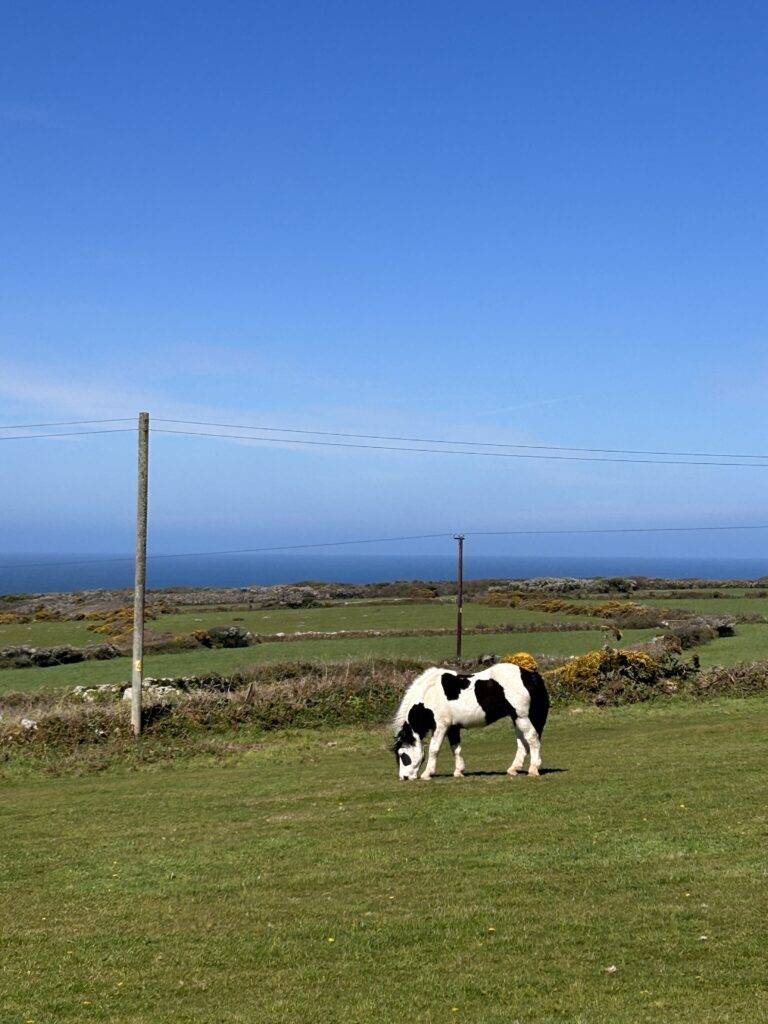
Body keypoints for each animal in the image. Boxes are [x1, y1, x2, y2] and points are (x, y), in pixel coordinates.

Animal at [391, 662, 549, 781]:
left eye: (403, 755)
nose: (404, 777)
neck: (429, 694)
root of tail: (530, 675)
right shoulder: (453, 728)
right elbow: (455, 748)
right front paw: (458, 771)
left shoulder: (441, 726)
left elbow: (434, 749)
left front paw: (427, 774)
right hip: (516, 718)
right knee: (522, 742)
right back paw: (513, 769)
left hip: (522, 717)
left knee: (532, 739)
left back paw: (533, 769)